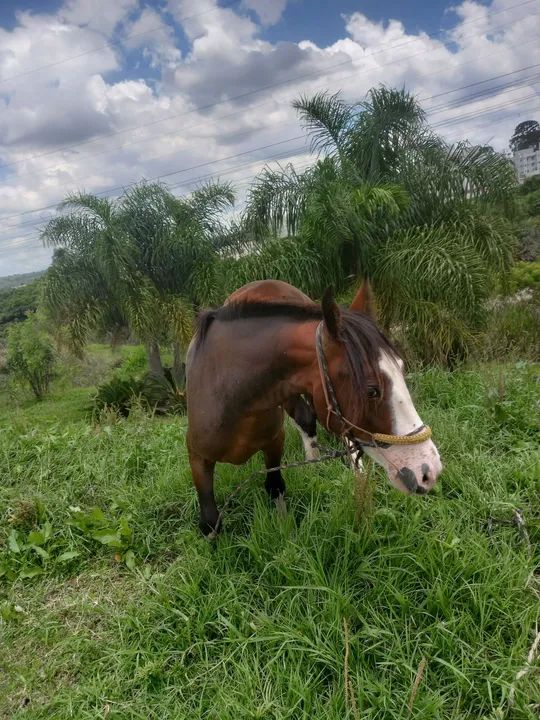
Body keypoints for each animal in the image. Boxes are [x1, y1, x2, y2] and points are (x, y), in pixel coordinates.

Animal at [186, 280, 442, 535]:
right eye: (372, 390)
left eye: (401, 368)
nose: (429, 471)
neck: (231, 390)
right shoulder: (197, 457)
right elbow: (210, 519)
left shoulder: (274, 442)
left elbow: (275, 486)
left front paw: (283, 527)